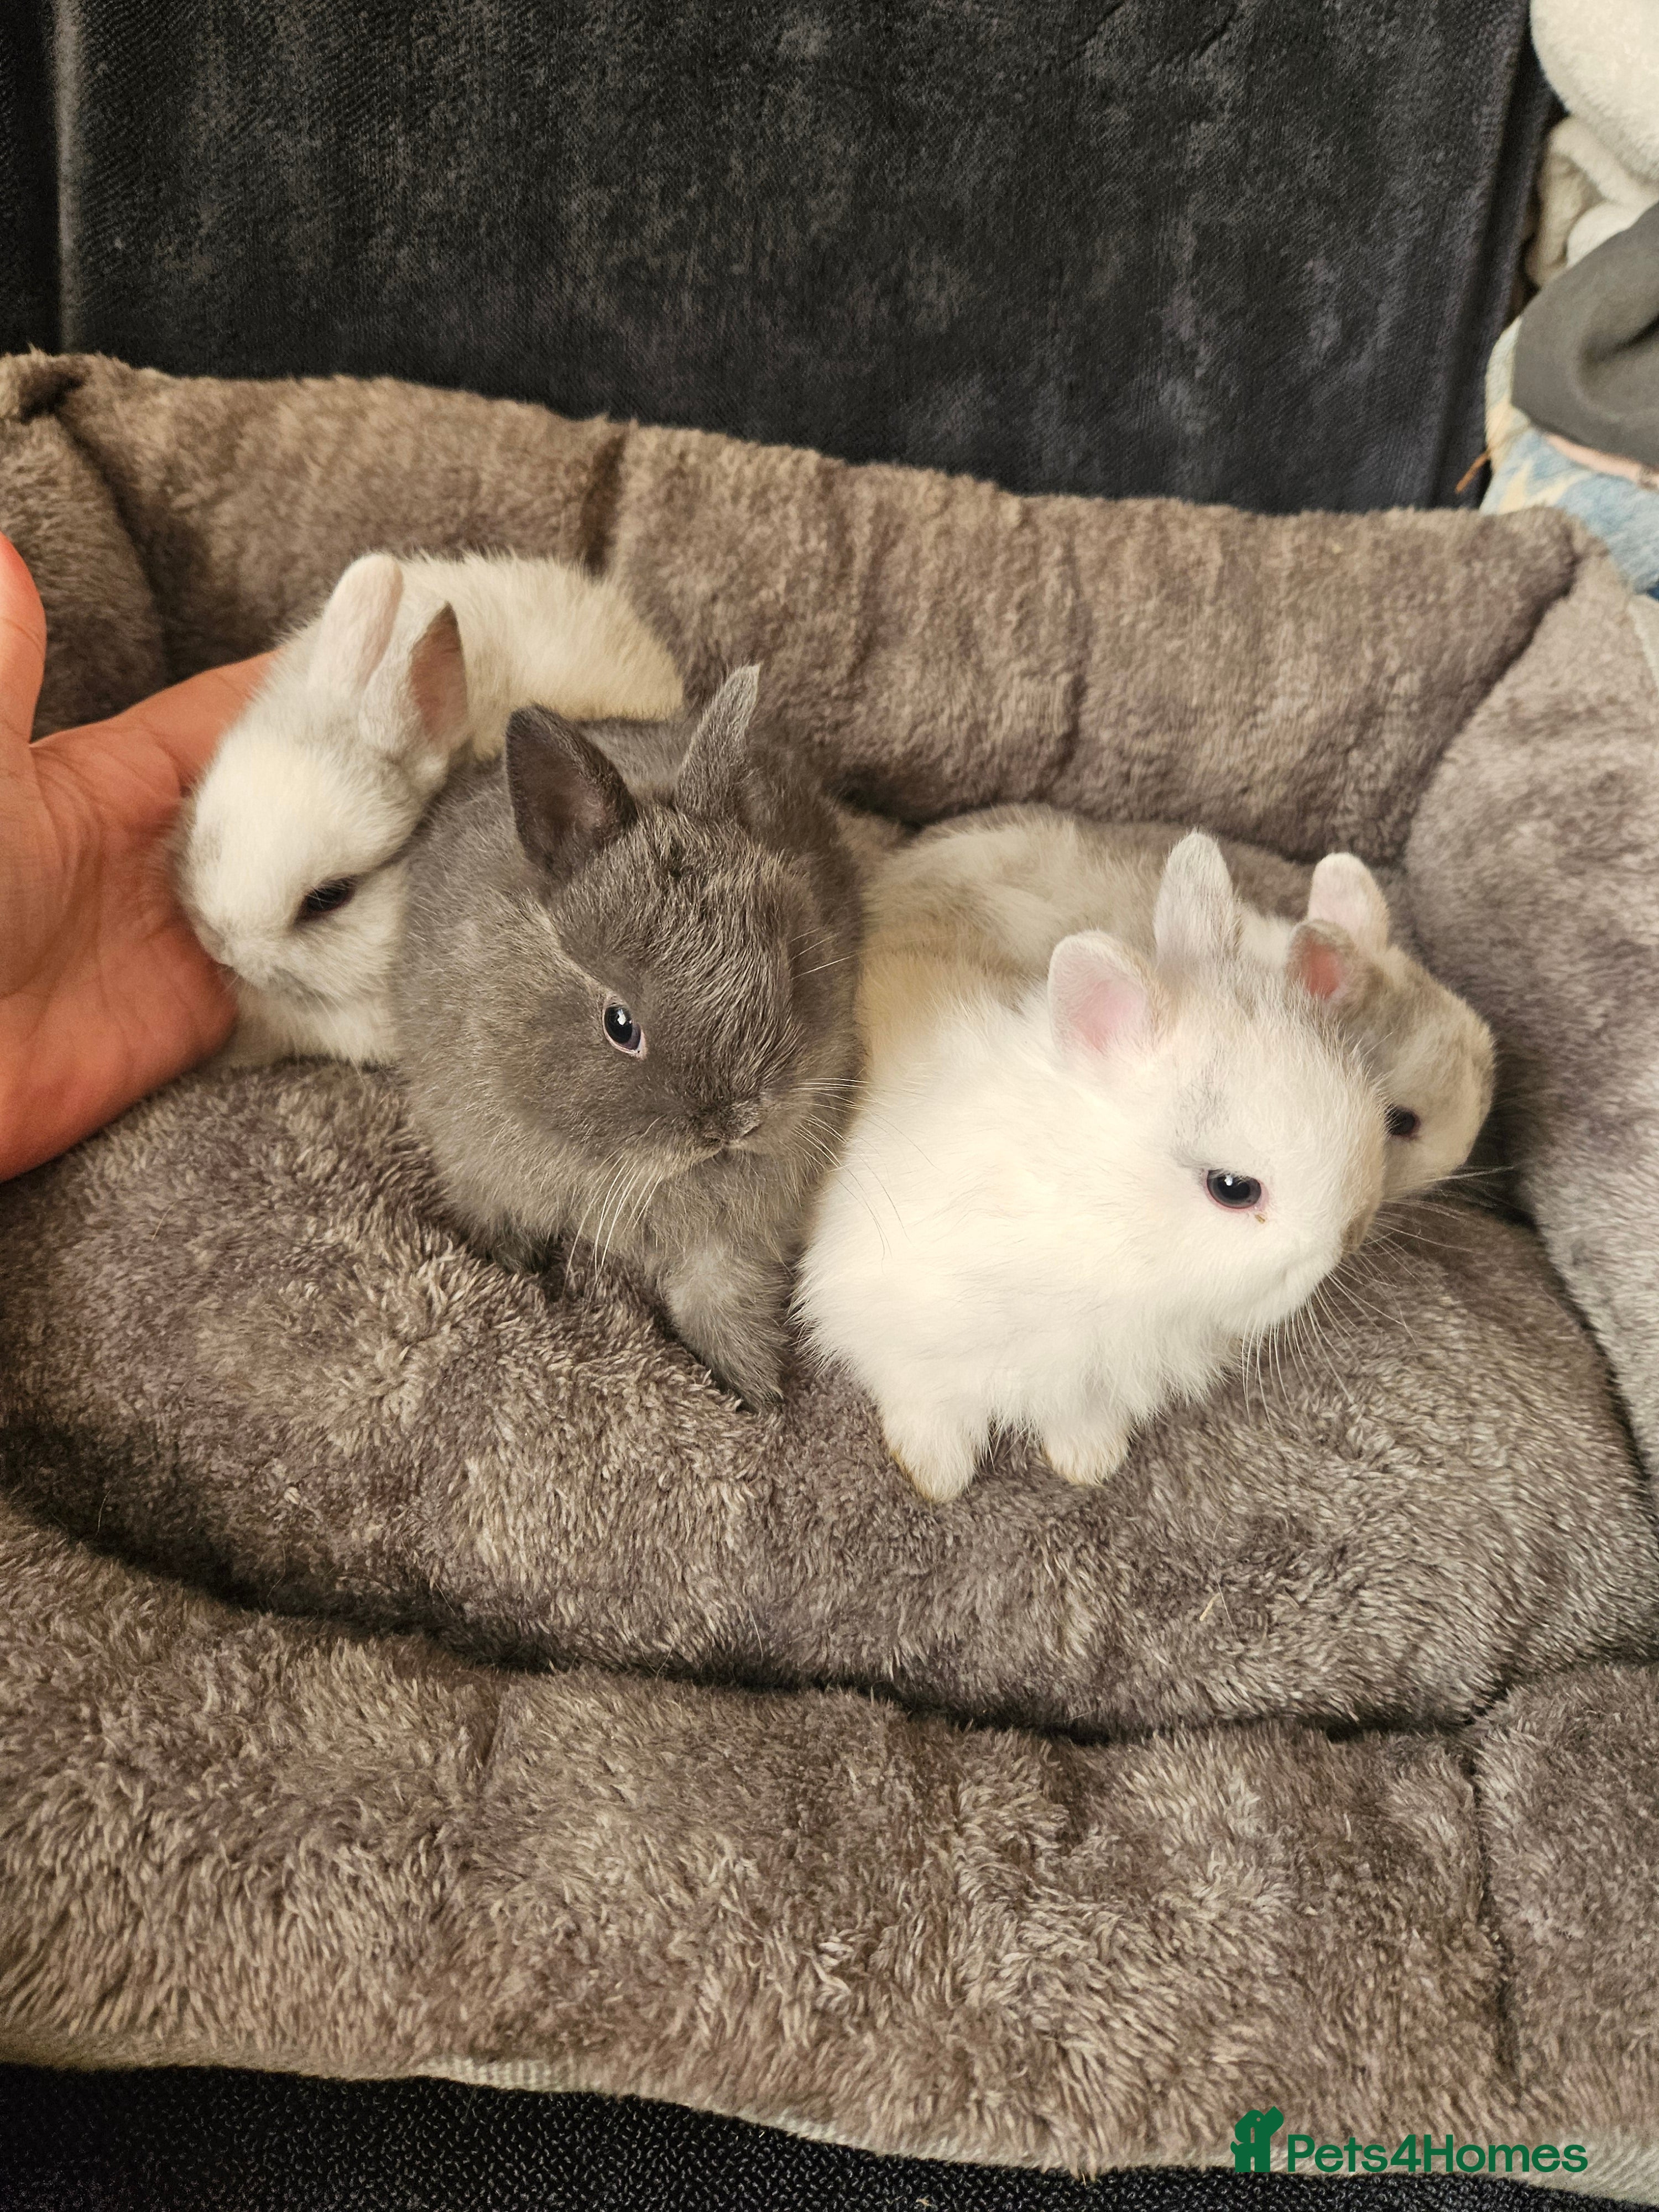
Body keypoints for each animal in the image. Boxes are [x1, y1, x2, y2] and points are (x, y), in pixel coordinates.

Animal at [393, 666, 863, 1410]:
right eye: (621, 1026)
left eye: (788, 970)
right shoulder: (478, 1159)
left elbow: (724, 1298)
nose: (734, 1122)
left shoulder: (735, 1240)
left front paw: (754, 1388)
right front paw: (515, 1269)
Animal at [796, 832, 1387, 1502]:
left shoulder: (1089, 1376)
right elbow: (925, 1399)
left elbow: (1079, 1416)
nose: (1349, 1236)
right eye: (1233, 1189)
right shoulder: (896, 1324)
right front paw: (937, 1473)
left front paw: (1091, 1460)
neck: (1096, 1219)